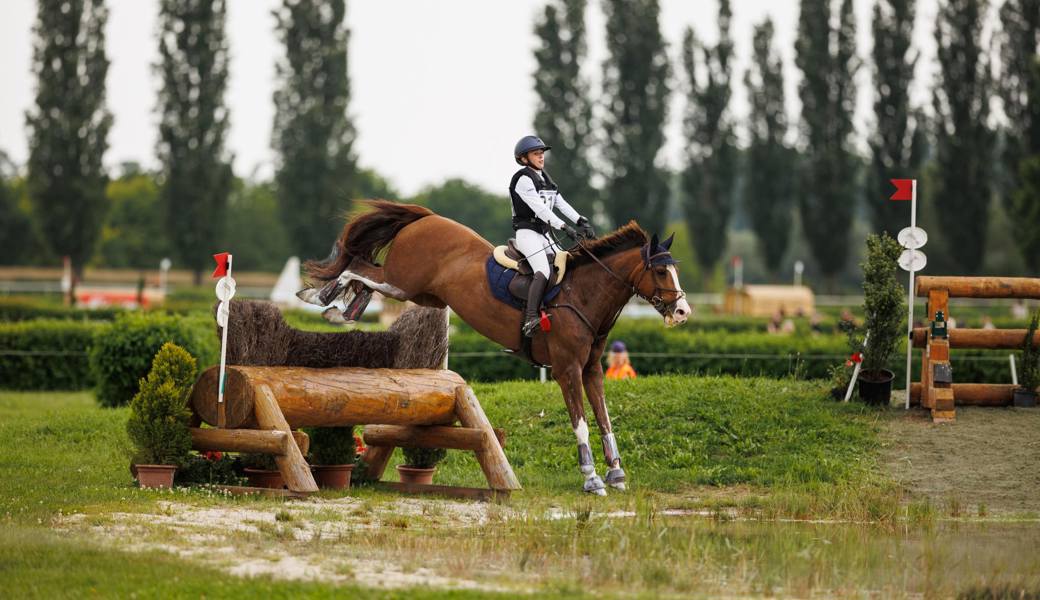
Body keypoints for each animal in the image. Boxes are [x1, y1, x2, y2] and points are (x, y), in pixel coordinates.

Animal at [301, 198, 690, 492]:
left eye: (674, 270)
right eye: (660, 272)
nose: (683, 311)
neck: (583, 294)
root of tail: (427, 218)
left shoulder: (592, 370)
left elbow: (605, 419)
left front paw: (616, 474)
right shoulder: (567, 370)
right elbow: (580, 421)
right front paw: (592, 479)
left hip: (423, 294)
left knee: (364, 273)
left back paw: (343, 309)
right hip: (402, 283)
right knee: (359, 270)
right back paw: (322, 298)